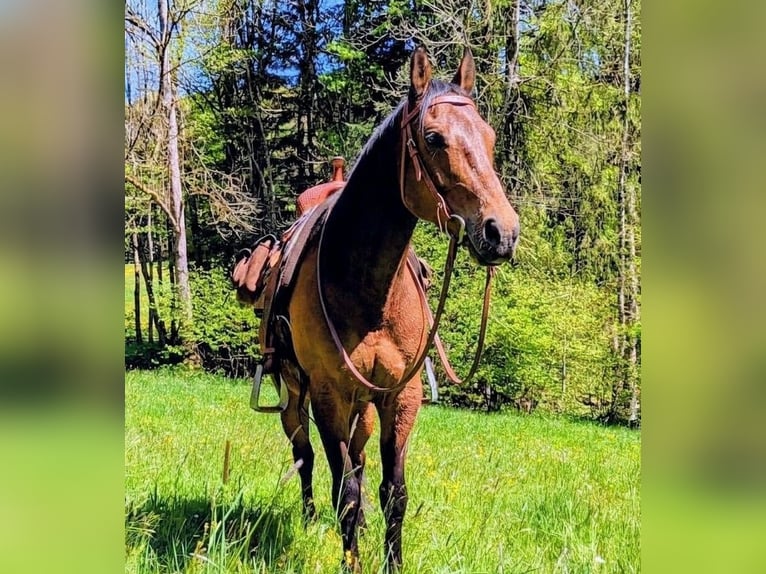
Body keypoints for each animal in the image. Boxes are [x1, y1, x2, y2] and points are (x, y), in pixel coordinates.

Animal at [265, 46, 519, 572]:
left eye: (488, 136)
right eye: (434, 137)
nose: (502, 232)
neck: (368, 288)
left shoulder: (400, 398)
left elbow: (391, 493)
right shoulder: (329, 397)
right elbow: (344, 491)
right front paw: (351, 558)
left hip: (362, 409)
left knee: (359, 466)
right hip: (294, 396)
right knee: (304, 455)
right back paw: (309, 518)